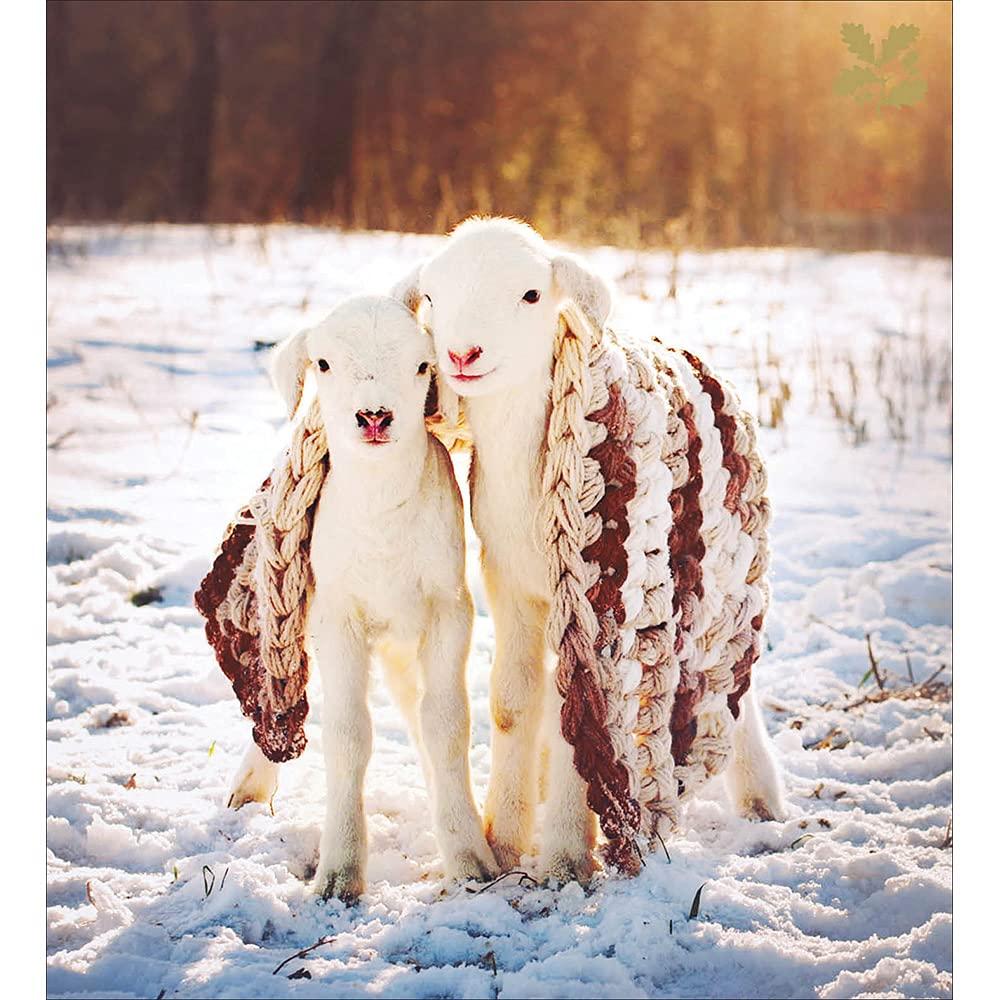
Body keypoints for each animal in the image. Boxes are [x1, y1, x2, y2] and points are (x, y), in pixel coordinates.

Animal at [226, 294, 497, 902]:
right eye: (324, 364)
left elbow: (446, 724)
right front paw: (339, 873)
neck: (381, 517)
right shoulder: (337, 616)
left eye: (421, 366)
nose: (374, 417)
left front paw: (468, 857)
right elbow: (348, 734)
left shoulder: (449, 608)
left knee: (416, 708)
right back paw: (250, 787)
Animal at [393, 217, 787, 883]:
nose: (463, 355)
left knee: (733, 680)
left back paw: (761, 800)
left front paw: (564, 858)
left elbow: (574, 712)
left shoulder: (588, 601)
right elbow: (513, 702)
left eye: (531, 295)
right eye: (433, 298)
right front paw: (505, 841)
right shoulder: (510, 586)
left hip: (724, 569)